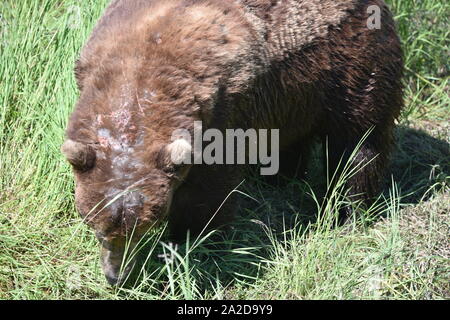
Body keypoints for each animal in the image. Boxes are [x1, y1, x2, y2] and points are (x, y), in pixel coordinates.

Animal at [61, 0, 402, 284]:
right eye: (97, 227)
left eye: (142, 226)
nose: (116, 276)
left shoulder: (223, 109)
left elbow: (208, 191)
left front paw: (194, 241)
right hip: (299, 94)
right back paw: (280, 177)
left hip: (351, 64)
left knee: (360, 141)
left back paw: (349, 211)